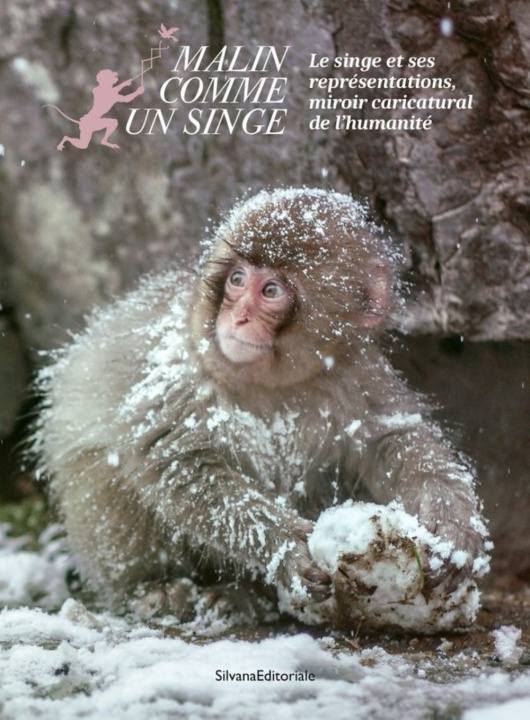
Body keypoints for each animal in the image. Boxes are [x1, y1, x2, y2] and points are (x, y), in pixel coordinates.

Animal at [32, 188, 489, 623]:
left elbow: (396, 438)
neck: (271, 385)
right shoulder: (181, 375)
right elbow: (179, 464)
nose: (237, 318)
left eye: (271, 290)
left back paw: (246, 597)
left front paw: (452, 526)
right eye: (237, 279)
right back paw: (158, 587)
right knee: (101, 471)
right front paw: (284, 548)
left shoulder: (358, 374)